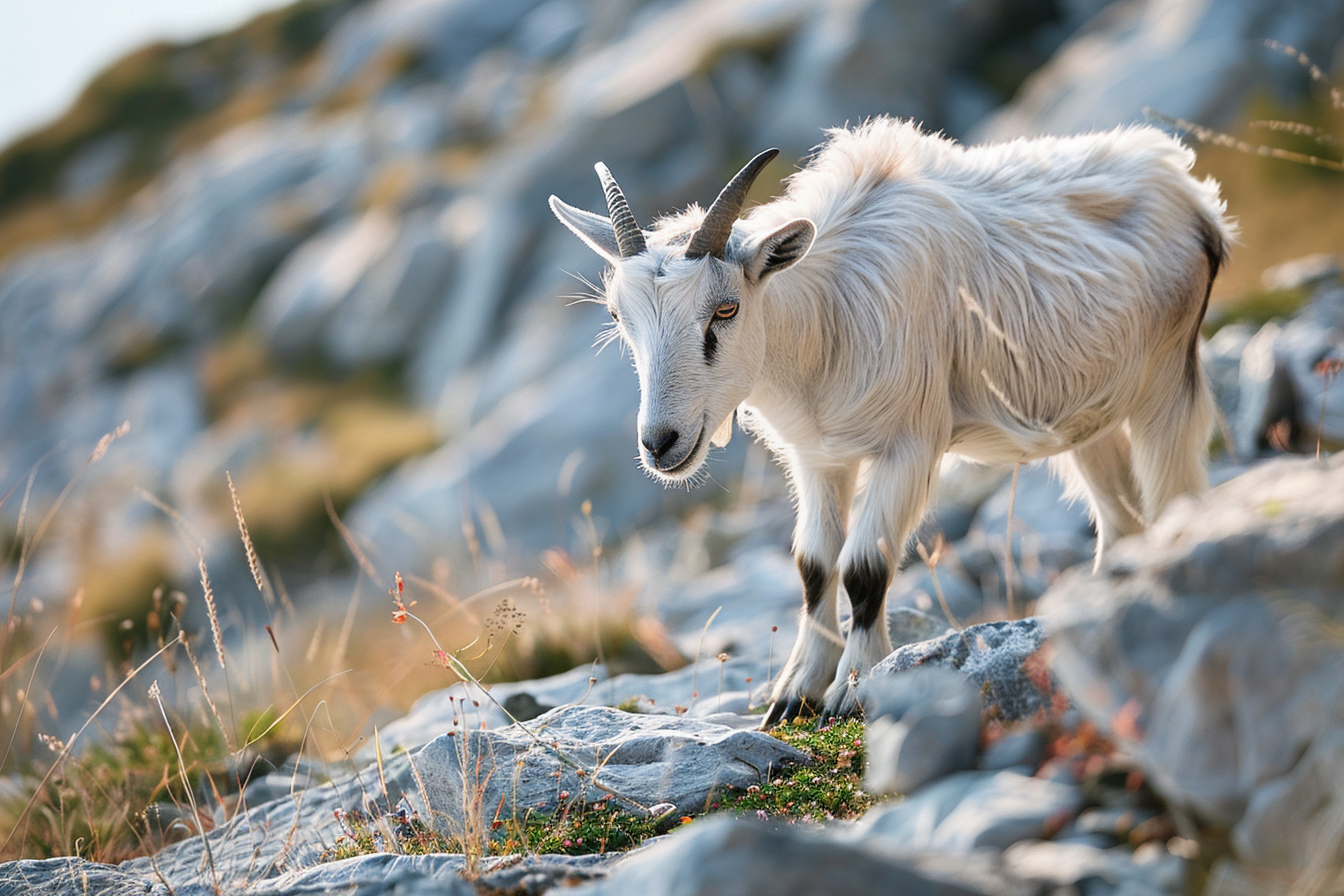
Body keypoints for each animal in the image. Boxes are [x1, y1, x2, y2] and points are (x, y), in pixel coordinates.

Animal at [550, 118, 1232, 726]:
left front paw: (852, 690)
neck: (825, 318)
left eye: (725, 309)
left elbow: (864, 568)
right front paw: (795, 692)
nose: (660, 443)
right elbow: (813, 565)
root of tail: (1190, 188)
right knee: (1121, 521)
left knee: (1171, 499)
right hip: (1088, 418)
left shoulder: (909, 444)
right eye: (618, 316)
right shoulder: (818, 458)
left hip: (1165, 384)